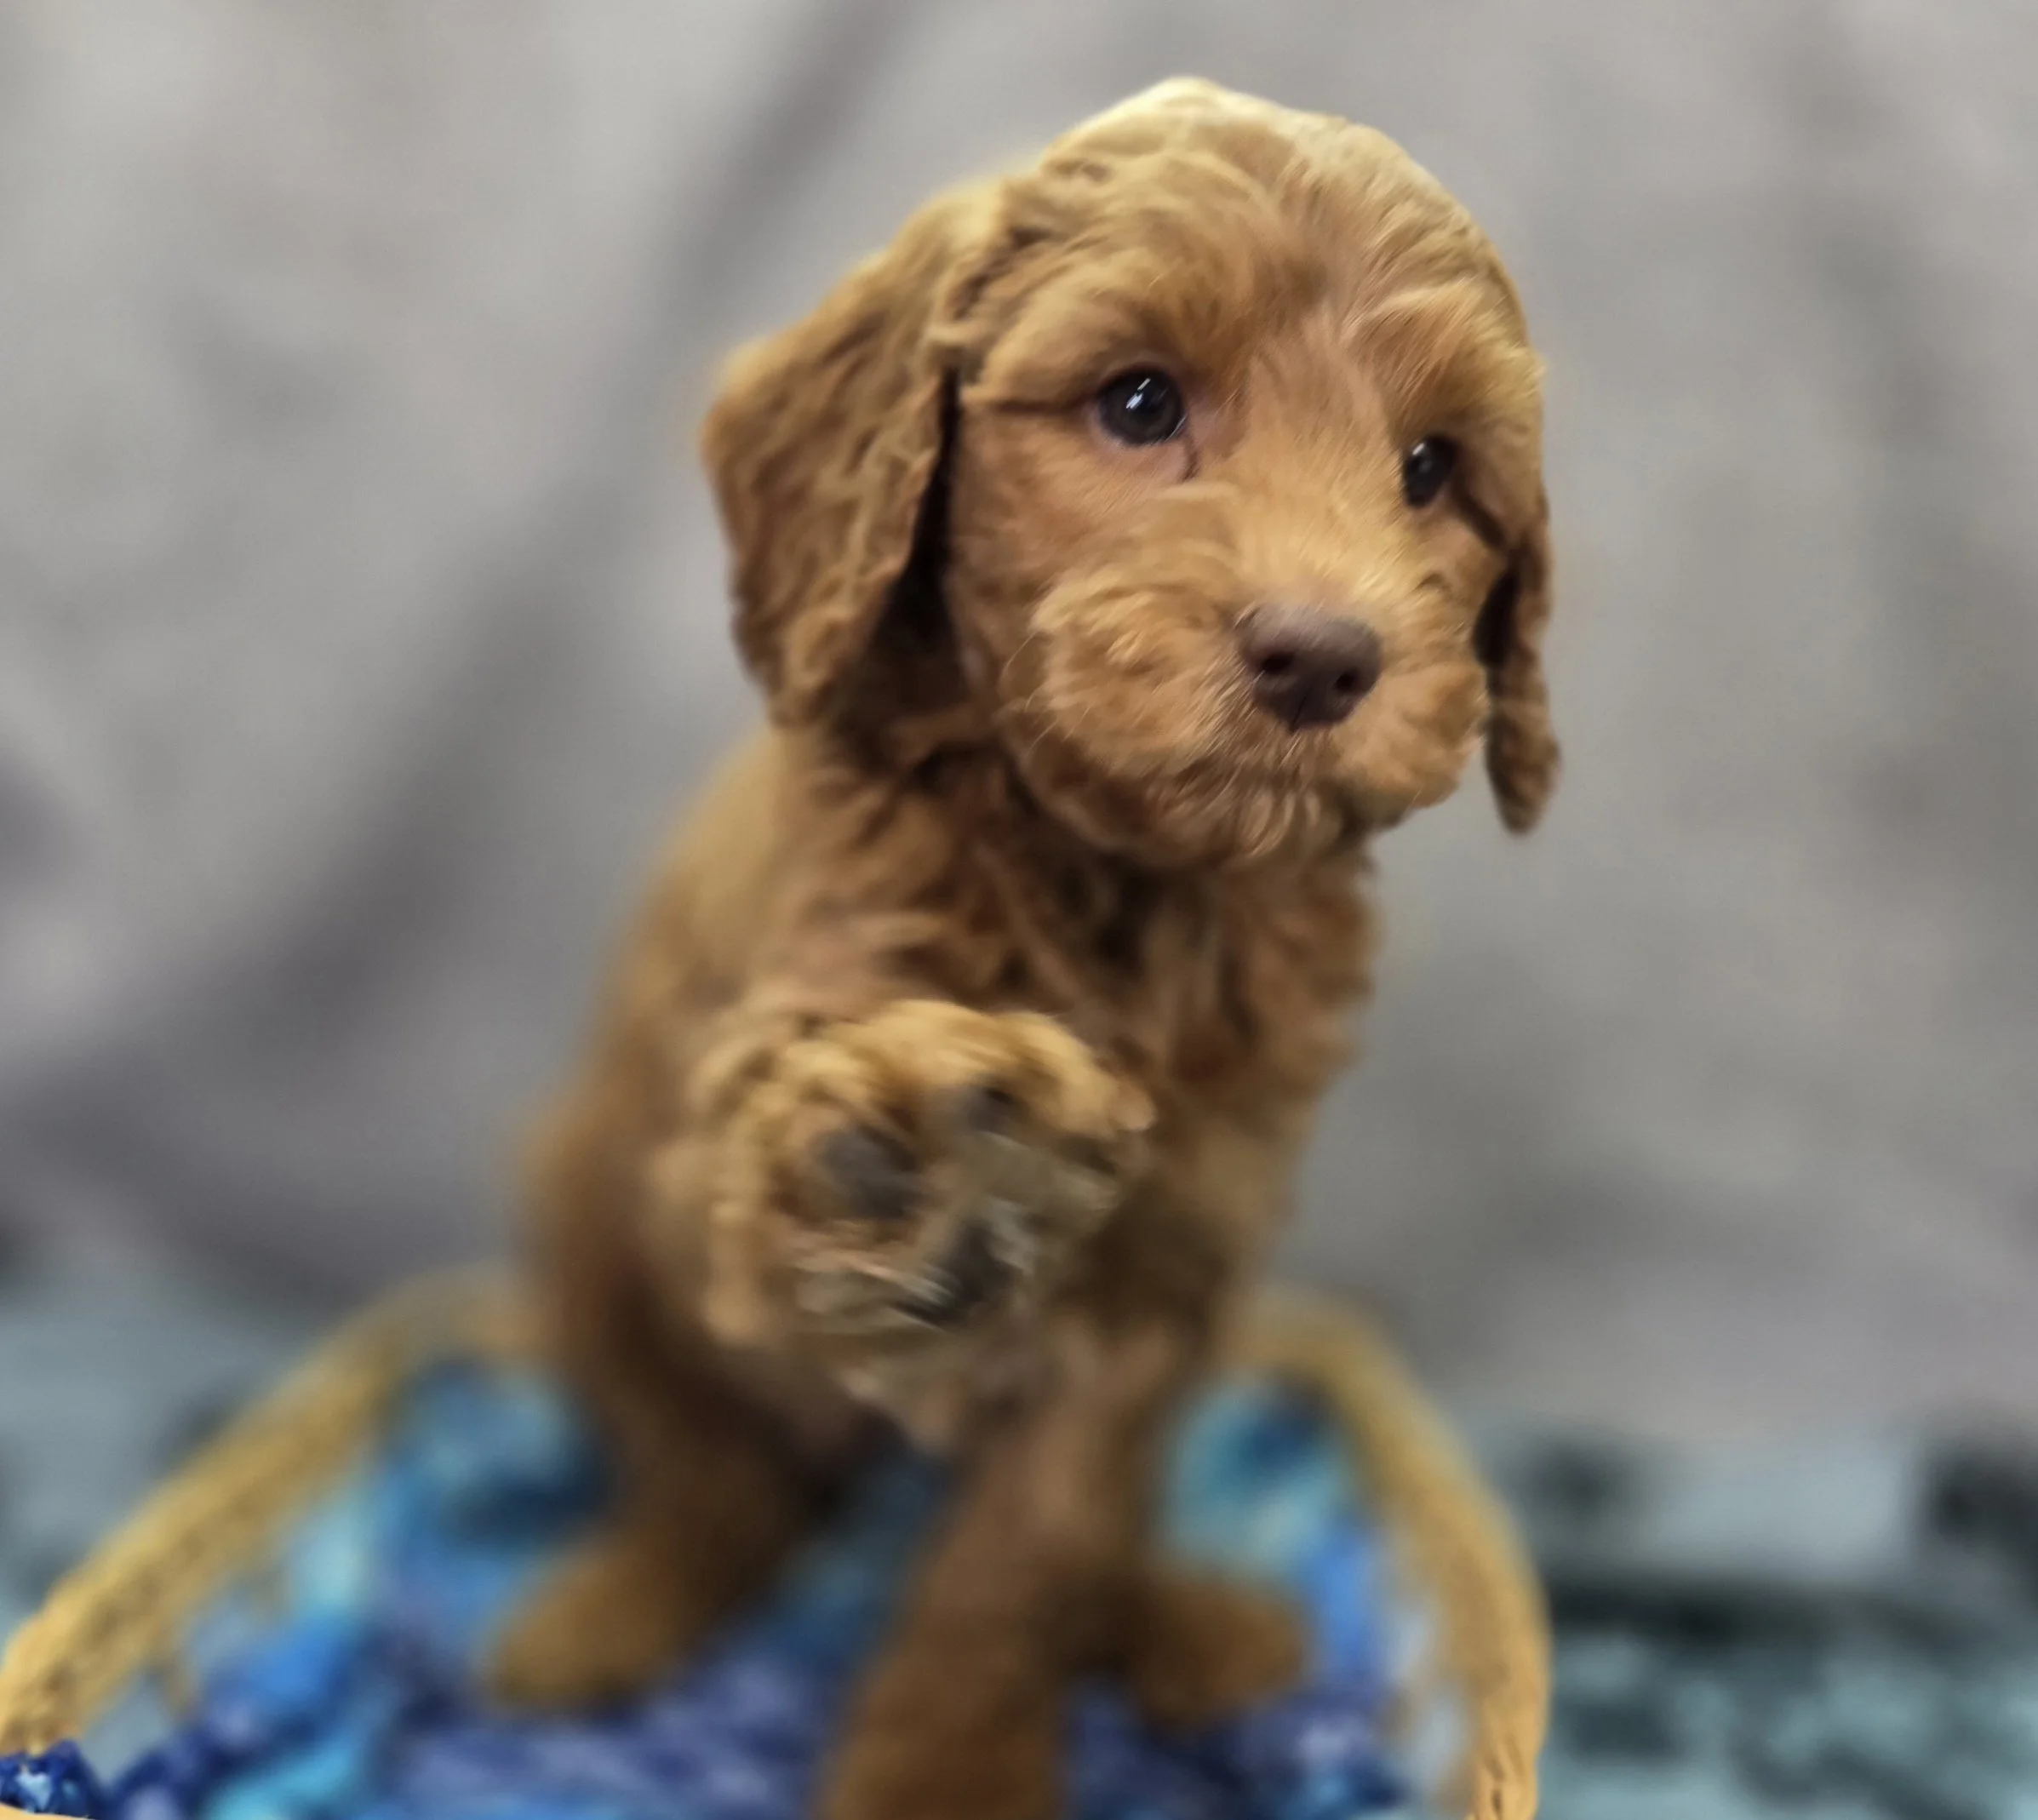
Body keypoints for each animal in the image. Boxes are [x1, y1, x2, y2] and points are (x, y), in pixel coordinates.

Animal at [489, 77, 1556, 1820]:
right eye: (1138, 401)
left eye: (1428, 466)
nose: (1323, 653)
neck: (1113, 883)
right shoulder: (766, 1077)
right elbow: (793, 1154)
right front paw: (924, 1167)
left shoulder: (1166, 1271)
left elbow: (1032, 1549)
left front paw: (952, 1762)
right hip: (584, 1209)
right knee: (704, 1461)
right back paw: (626, 1595)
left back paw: (1180, 1617)